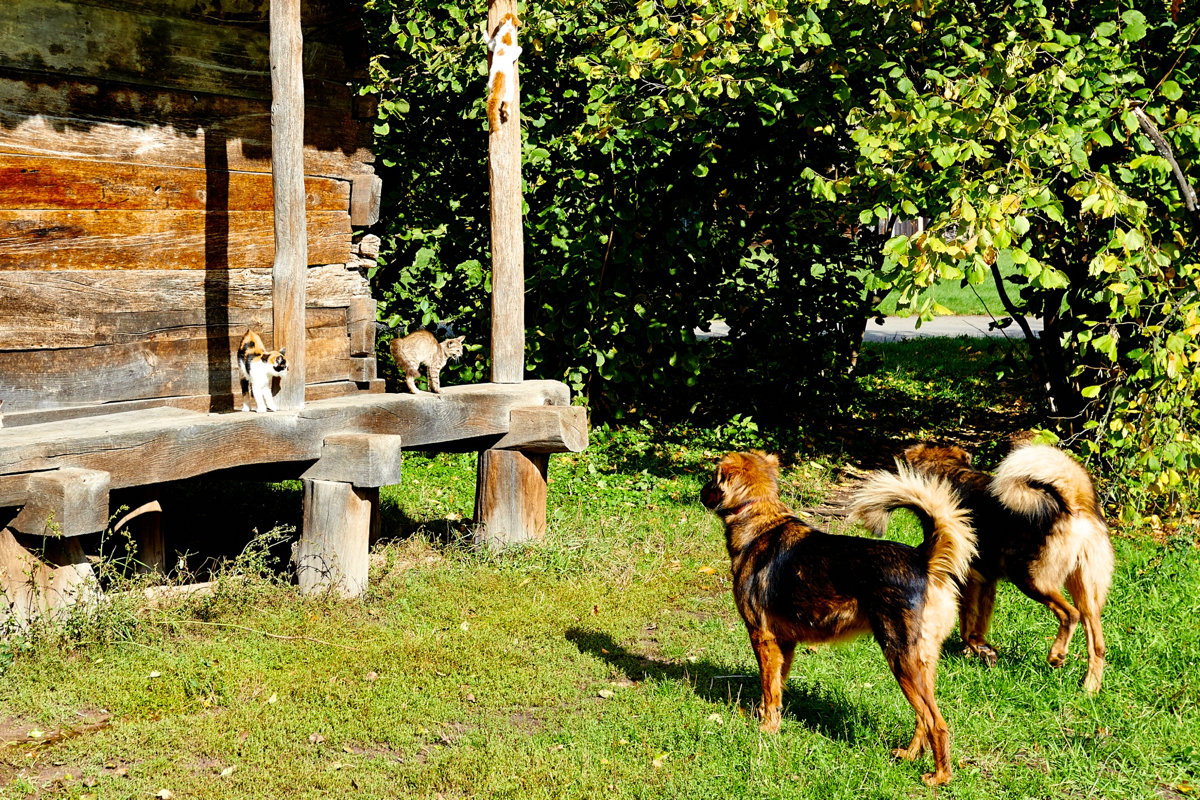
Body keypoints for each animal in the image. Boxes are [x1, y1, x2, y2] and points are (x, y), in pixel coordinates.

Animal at [700, 453, 974, 786]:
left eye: (712, 478)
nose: (700, 493)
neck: (760, 518)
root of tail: (923, 559)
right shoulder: (785, 643)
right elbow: (776, 688)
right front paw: (770, 720)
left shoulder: (761, 636)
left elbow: (768, 687)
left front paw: (766, 730)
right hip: (923, 660)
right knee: (924, 716)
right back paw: (909, 755)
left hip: (899, 656)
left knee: (936, 722)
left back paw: (939, 776)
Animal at [902, 441, 1108, 690]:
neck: (949, 473)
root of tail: (1073, 504)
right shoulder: (986, 581)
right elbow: (977, 624)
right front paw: (977, 651)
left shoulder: (969, 579)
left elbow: (966, 626)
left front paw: (977, 650)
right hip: (1086, 593)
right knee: (1097, 643)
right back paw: (1090, 688)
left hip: (1030, 579)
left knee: (1070, 614)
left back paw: (1056, 655)